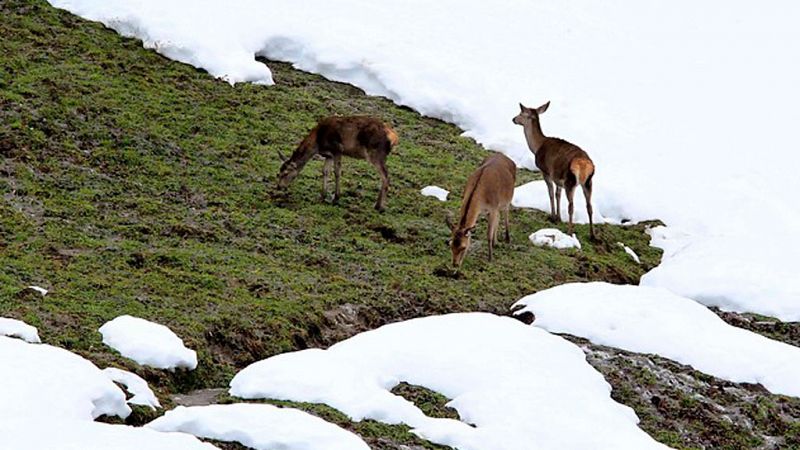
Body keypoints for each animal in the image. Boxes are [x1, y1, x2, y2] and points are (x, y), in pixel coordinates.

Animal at [512, 101, 592, 239]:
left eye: (521, 113)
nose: (513, 119)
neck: (536, 147)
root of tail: (583, 164)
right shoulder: (558, 178)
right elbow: (557, 194)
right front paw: (558, 217)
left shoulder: (546, 171)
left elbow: (550, 193)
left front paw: (553, 216)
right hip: (588, 182)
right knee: (589, 206)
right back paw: (594, 236)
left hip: (570, 181)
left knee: (571, 206)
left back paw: (570, 232)